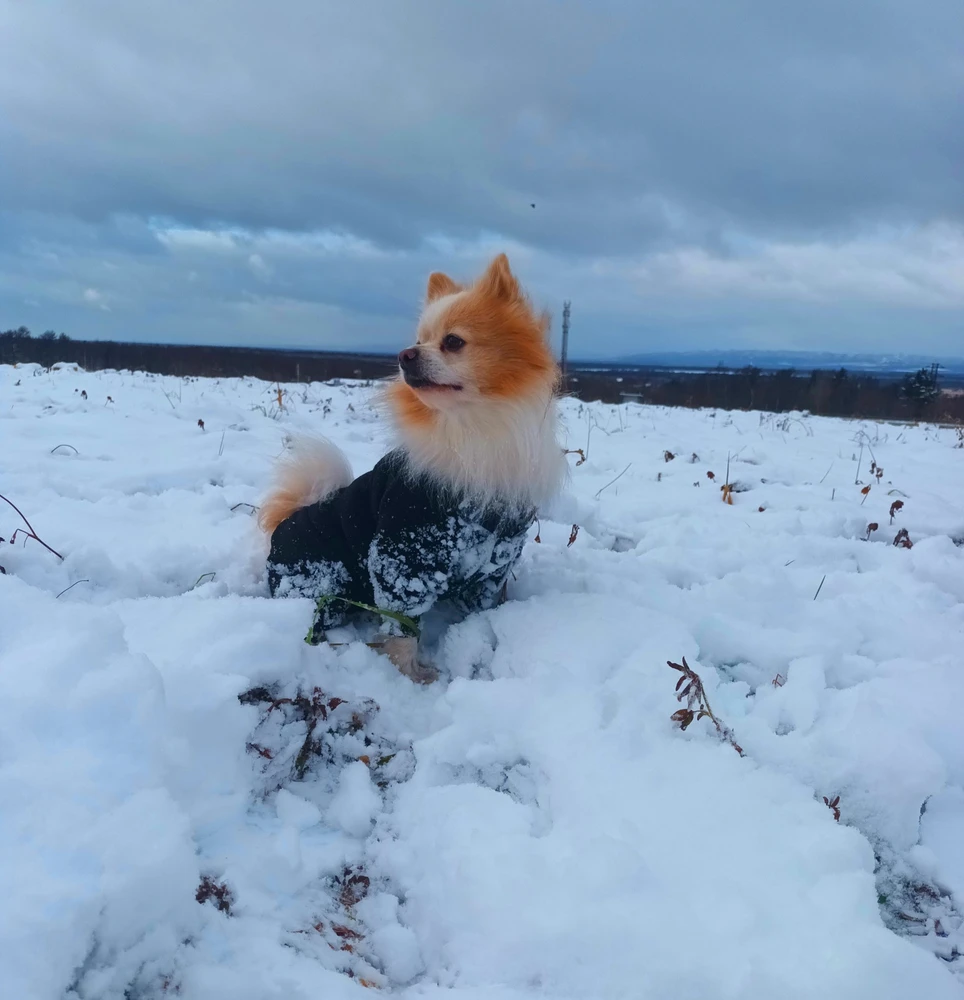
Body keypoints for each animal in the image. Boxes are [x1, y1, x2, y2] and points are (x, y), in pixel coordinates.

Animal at [260, 254, 568, 684]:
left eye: (453, 341)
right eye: (419, 340)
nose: (405, 354)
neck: (470, 433)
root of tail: (285, 518)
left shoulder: (495, 560)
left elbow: (479, 609)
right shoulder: (405, 554)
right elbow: (402, 628)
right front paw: (411, 676)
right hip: (320, 581)